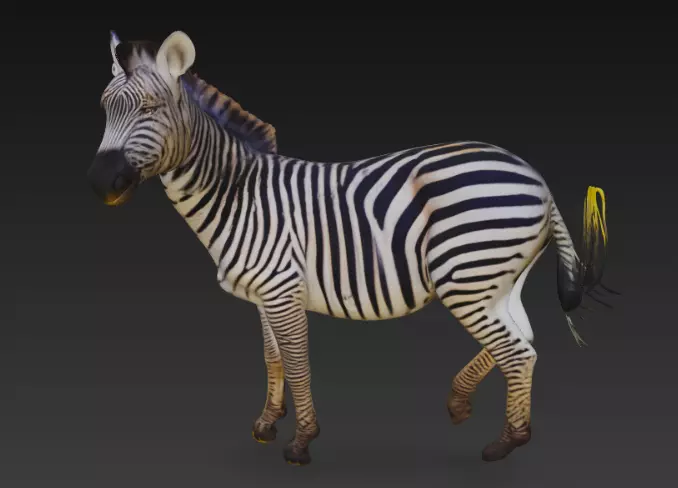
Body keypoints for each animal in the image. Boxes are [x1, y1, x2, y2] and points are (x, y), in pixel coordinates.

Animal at [87, 30, 613, 466]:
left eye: (150, 109)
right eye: (106, 109)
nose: (100, 184)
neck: (240, 194)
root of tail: (535, 176)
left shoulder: (282, 290)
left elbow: (298, 363)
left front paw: (301, 442)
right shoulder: (262, 294)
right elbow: (272, 358)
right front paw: (266, 424)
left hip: (465, 275)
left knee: (517, 351)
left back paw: (506, 442)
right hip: (496, 279)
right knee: (523, 338)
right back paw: (461, 402)